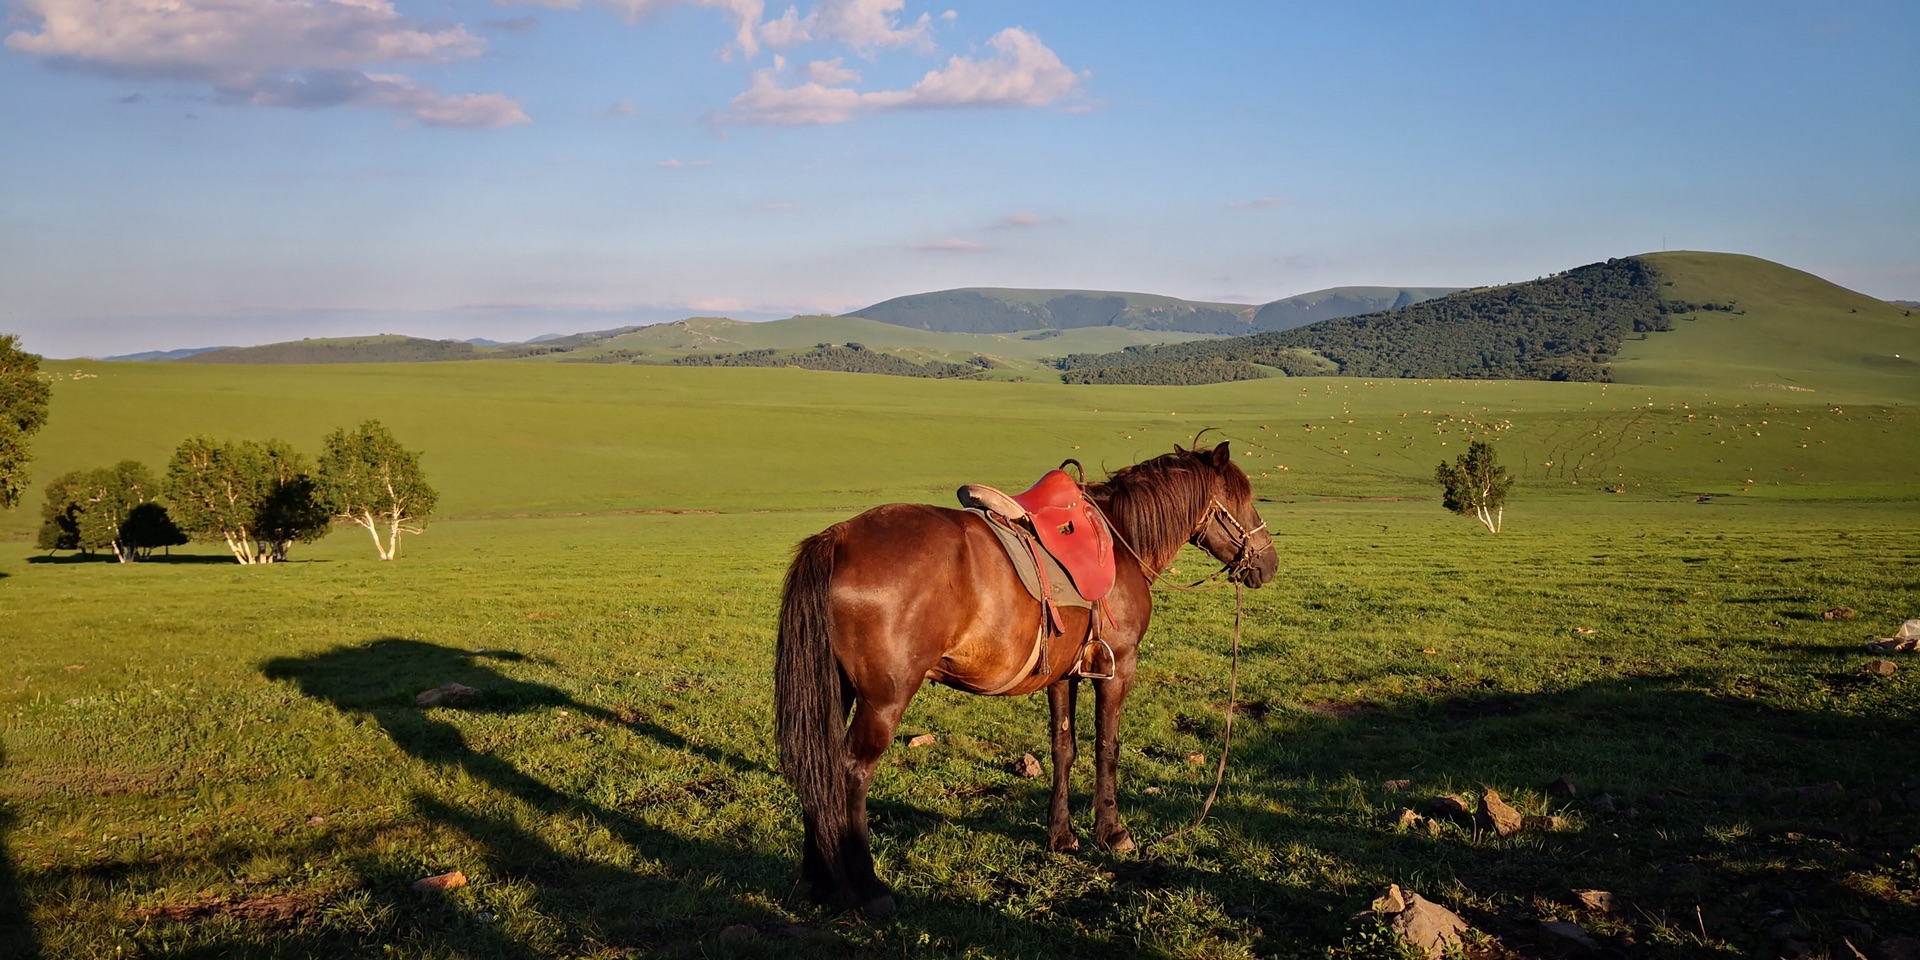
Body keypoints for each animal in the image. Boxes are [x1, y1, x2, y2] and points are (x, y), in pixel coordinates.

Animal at [771, 441, 1282, 913]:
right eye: (1241, 500)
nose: (1269, 563)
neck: (1121, 543)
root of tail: (837, 539)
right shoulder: (1118, 666)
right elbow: (1107, 747)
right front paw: (1113, 832)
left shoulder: (1064, 674)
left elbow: (1063, 748)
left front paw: (1062, 835)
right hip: (884, 700)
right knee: (852, 774)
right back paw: (868, 888)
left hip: (837, 690)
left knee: (820, 769)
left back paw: (819, 879)